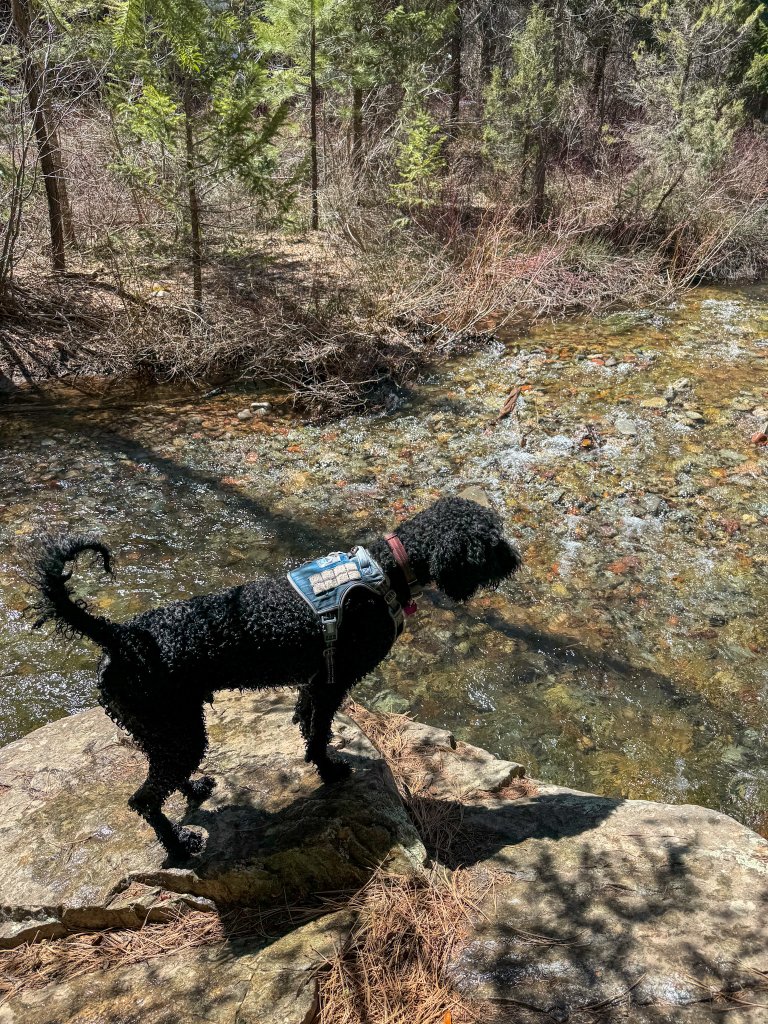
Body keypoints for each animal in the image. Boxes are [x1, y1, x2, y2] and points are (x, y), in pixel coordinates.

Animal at [31, 495, 524, 856]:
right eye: (490, 540)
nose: (516, 559)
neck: (385, 569)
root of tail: (120, 636)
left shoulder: (317, 679)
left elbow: (307, 718)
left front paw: (320, 752)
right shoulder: (334, 678)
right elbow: (319, 729)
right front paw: (329, 769)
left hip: (164, 729)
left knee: (165, 778)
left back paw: (194, 788)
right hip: (174, 726)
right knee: (144, 799)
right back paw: (179, 846)